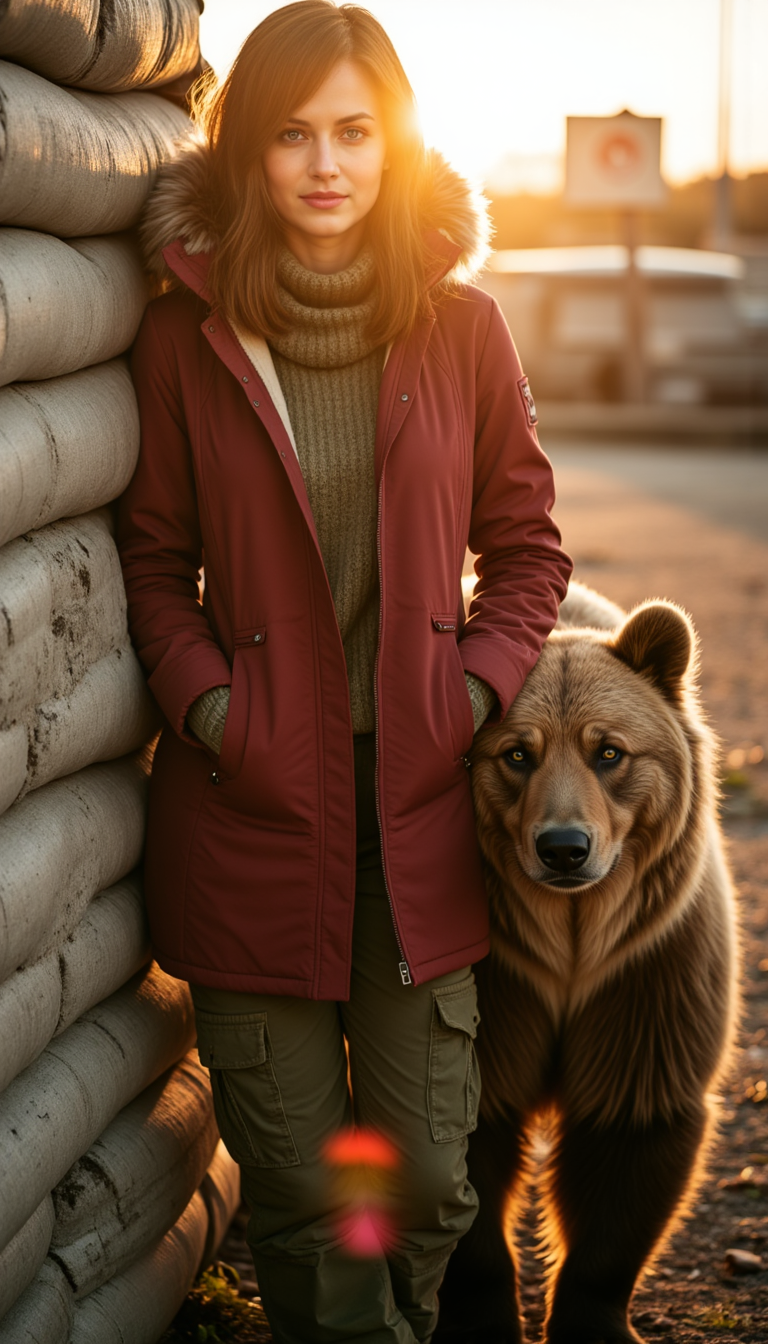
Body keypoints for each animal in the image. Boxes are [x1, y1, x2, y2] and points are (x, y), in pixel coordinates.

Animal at [435, 584, 739, 1344]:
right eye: (517, 753)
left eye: (609, 750)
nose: (565, 848)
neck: (569, 943)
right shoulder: (501, 988)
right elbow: (468, 1143)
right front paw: (482, 1317)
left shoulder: (646, 978)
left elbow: (630, 1140)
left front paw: (594, 1319)